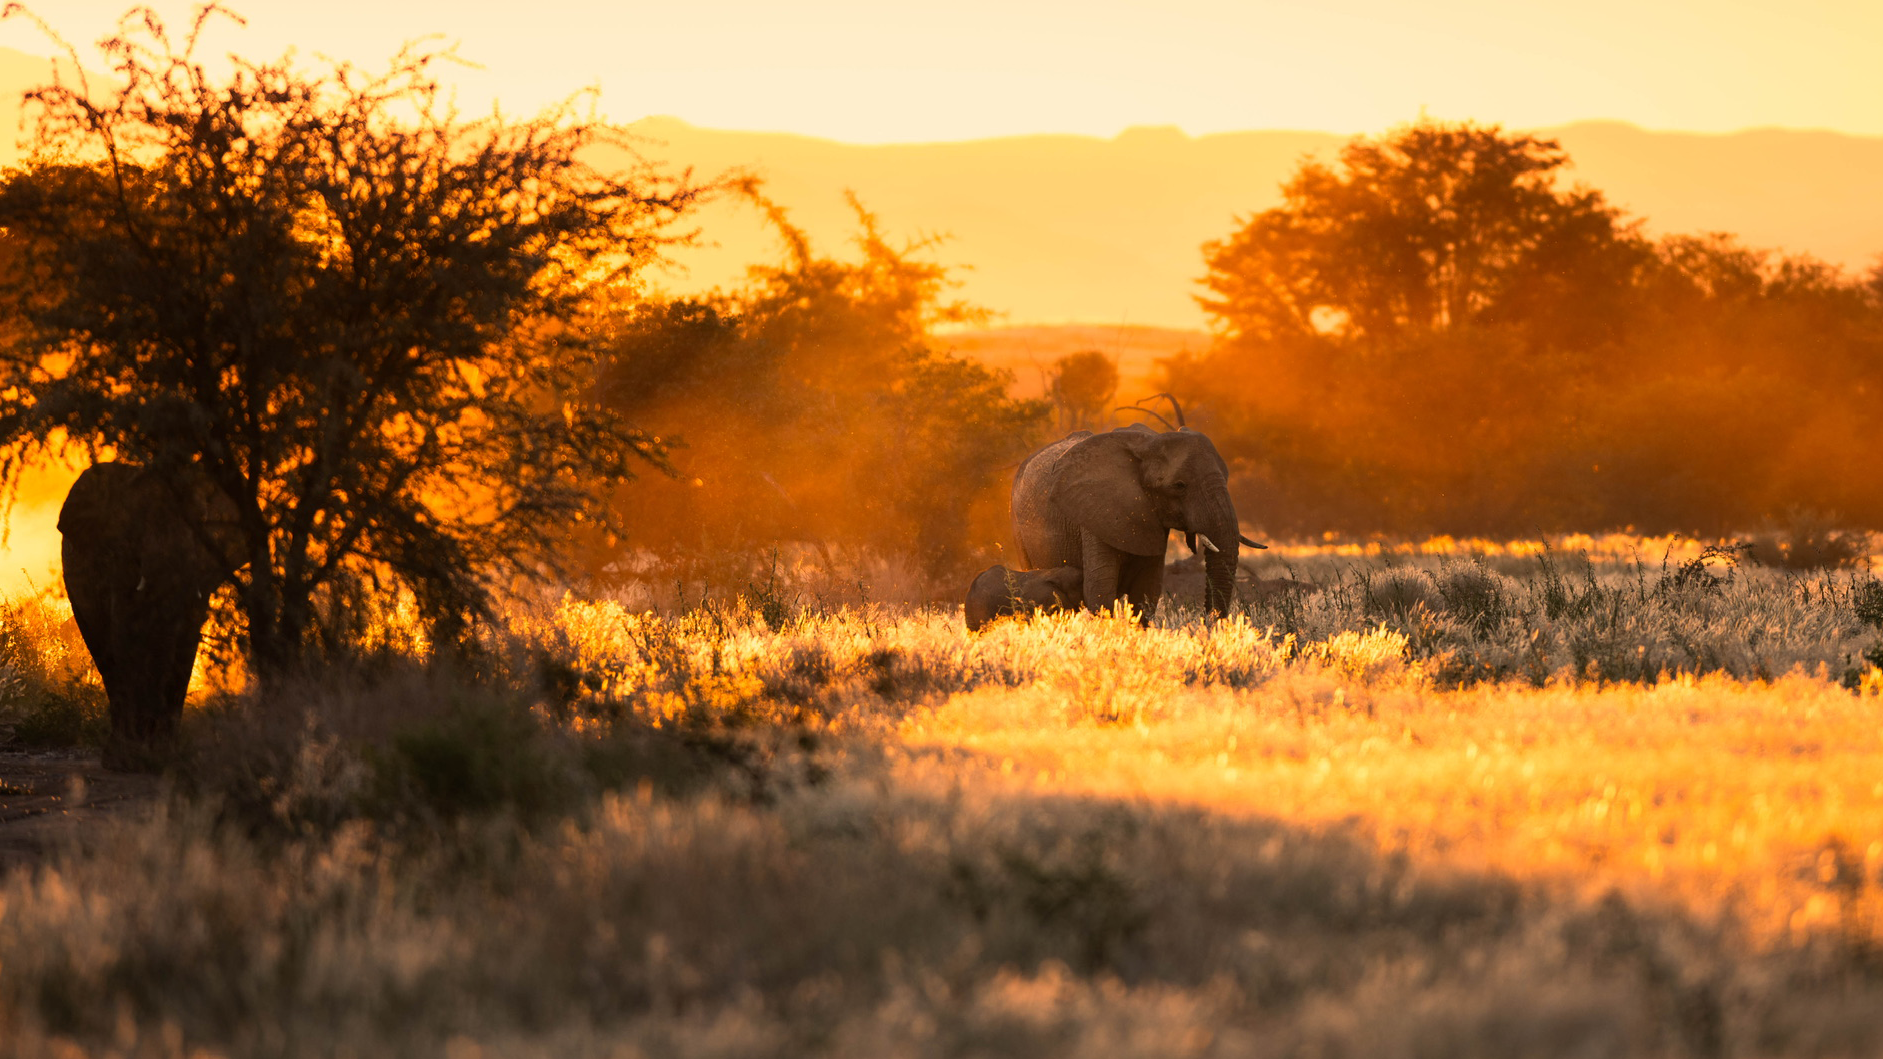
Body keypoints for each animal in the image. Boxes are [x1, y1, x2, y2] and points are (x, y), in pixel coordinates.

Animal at [58, 462, 246, 768]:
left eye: (200, 524)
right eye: (134, 526)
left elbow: (185, 643)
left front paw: (163, 756)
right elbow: (125, 635)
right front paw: (131, 759)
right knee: (104, 651)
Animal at [1012, 404, 1257, 622]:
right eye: (1179, 486)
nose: (1207, 621)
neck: (1148, 445)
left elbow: (1146, 593)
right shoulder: (1096, 513)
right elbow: (1100, 591)